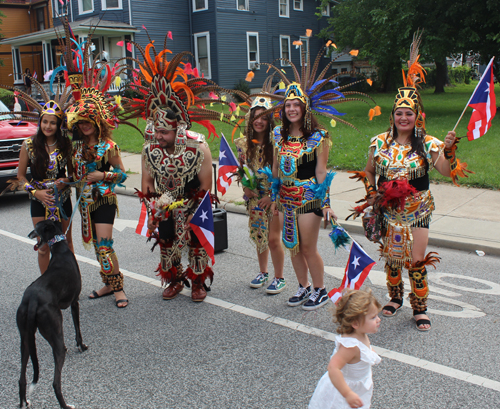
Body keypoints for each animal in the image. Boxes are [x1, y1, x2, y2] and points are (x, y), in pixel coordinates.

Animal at [16, 220, 87, 408]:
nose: (29, 234)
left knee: (21, 379)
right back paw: (66, 405)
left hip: (25, 339)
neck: (60, 250)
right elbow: (78, 330)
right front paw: (81, 346)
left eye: (37, 228)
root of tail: (33, 299)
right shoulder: (74, 302)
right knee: (55, 382)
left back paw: (24, 402)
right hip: (53, 328)